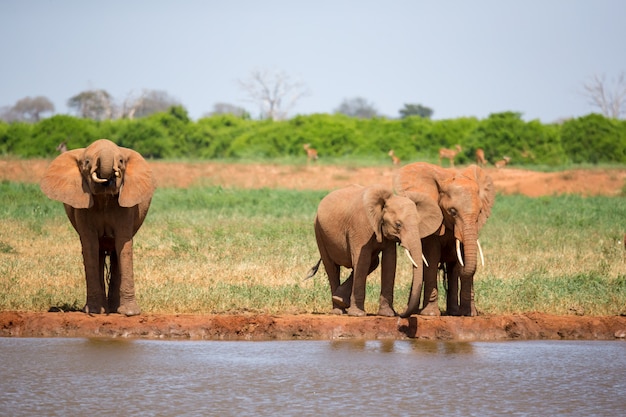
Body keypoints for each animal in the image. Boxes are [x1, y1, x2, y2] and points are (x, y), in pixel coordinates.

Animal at [40, 138, 156, 314]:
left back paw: (114, 309)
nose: (108, 178)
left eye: (121, 161)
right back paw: (104, 309)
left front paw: (130, 313)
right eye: (87, 162)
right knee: (99, 252)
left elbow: (123, 244)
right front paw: (93, 311)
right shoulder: (82, 207)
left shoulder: (127, 208)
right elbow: (90, 246)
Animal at [304, 182, 442, 316]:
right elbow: (363, 261)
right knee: (332, 268)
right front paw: (358, 315)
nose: (401, 313)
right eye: (398, 224)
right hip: (319, 231)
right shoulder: (360, 226)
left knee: (373, 263)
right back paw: (338, 311)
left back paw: (339, 299)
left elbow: (389, 262)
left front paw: (387, 314)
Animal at [394, 162, 492, 316]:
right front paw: (430, 315)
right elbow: (432, 257)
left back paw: (453, 312)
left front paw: (469, 314)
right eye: (452, 211)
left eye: (480, 212)